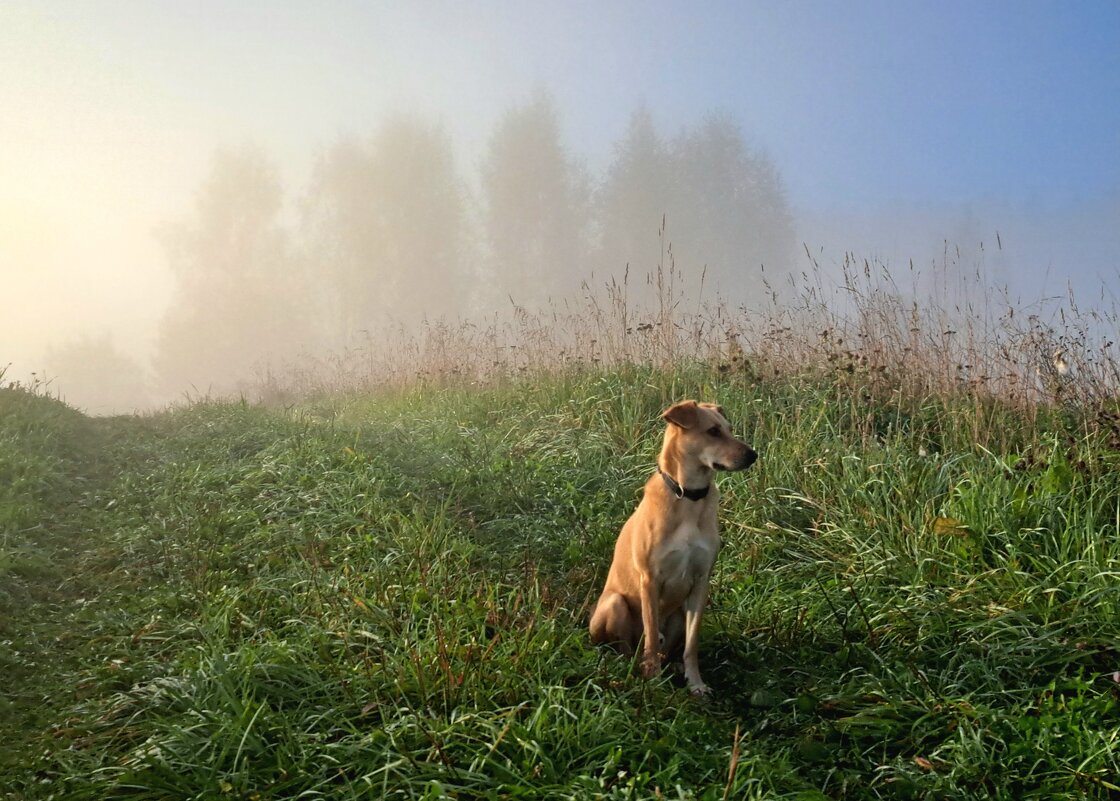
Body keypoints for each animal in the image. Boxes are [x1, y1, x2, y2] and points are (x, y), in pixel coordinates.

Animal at [591, 401, 757, 694]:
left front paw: (696, 682)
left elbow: (691, 644)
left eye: (729, 429)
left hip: (678, 613)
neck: (688, 498)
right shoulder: (650, 580)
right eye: (713, 431)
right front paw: (654, 680)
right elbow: (650, 633)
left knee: (665, 648)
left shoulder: (701, 581)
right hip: (615, 603)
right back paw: (634, 668)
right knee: (629, 648)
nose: (753, 455)